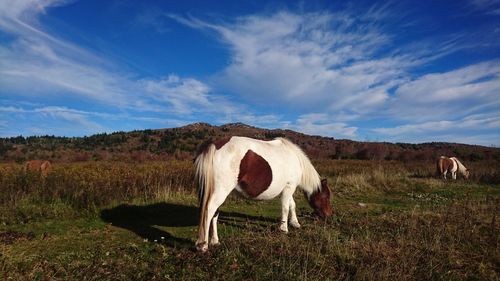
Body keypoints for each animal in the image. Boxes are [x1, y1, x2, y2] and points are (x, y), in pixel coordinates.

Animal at [194, 136, 332, 252]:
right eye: (325, 197)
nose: (328, 215)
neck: (295, 159)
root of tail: (215, 145)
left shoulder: (289, 188)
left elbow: (292, 205)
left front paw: (295, 223)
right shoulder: (289, 187)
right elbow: (285, 207)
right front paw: (284, 229)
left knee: (215, 213)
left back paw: (215, 241)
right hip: (220, 191)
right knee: (209, 210)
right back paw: (203, 245)